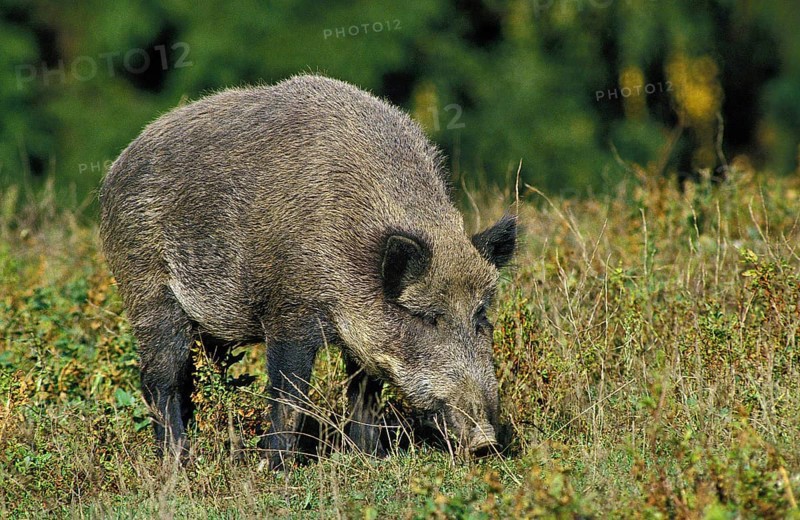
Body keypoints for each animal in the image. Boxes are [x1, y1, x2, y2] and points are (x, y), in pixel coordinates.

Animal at [99, 74, 517, 468]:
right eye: (427, 317)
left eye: (480, 314)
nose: (485, 441)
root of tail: (116, 169)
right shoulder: (290, 310)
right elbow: (290, 393)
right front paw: (276, 468)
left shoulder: (363, 335)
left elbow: (364, 390)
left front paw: (370, 456)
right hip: (145, 286)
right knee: (161, 379)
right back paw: (177, 462)